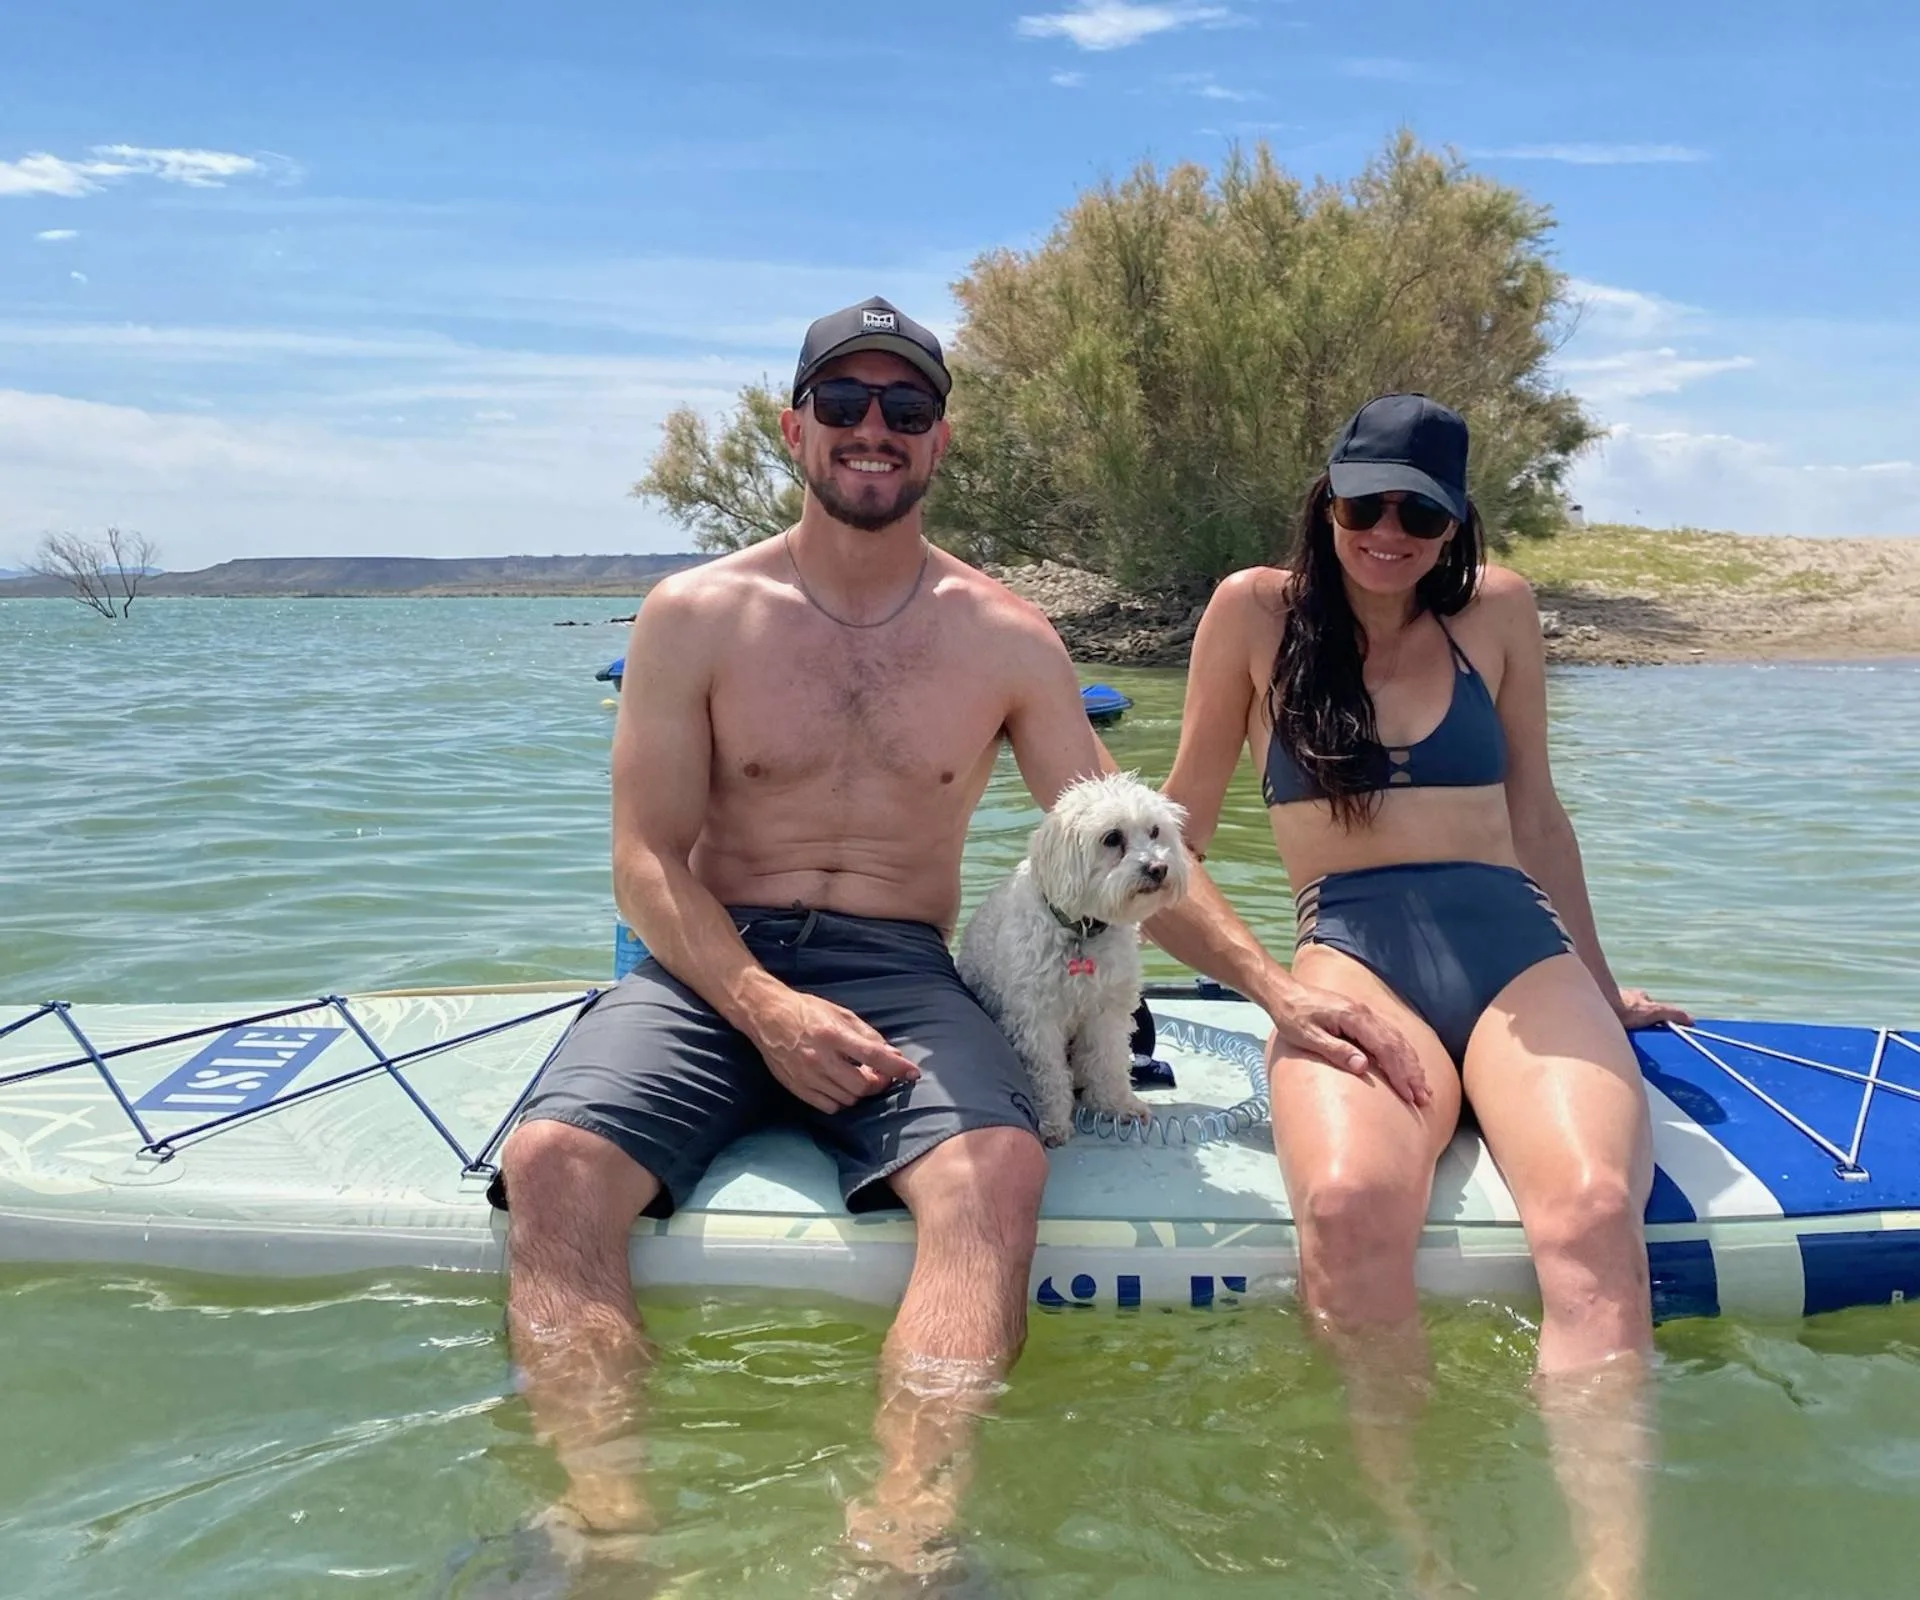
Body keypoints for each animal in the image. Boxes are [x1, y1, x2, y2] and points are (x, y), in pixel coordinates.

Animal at [957, 773, 1189, 1146]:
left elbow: (1108, 1058)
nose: (1158, 868)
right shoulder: (1036, 1018)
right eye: (1112, 838)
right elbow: (1048, 1072)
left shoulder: (1107, 1009)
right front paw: (1052, 1122)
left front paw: (1116, 1104)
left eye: (1155, 831)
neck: (1081, 929)